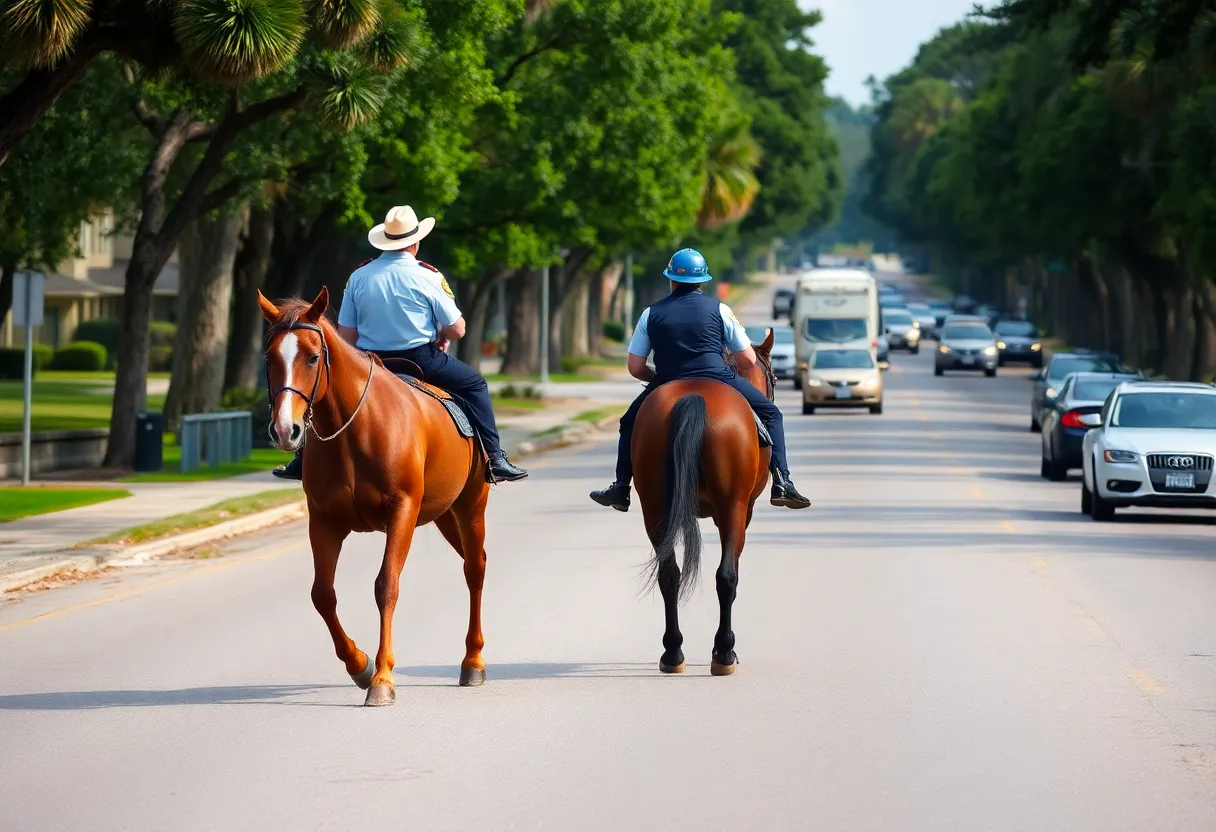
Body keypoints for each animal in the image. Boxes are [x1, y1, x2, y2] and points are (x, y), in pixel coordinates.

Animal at [260, 289, 488, 705]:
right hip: (444, 515)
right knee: (471, 563)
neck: (354, 427)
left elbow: (386, 586)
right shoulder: (324, 521)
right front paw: (360, 665)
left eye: (312, 357)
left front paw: (382, 677)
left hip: (470, 506)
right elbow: (322, 594)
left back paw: (473, 661)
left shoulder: (402, 512)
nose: (285, 429)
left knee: (475, 570)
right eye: (270, 358)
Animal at [632, 325, 773, 676]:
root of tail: (693, 396)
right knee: (726, 576)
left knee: (669, 574)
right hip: (733, 508)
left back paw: (672, 652)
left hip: (654, 507)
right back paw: (724, 652)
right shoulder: (745, 511)